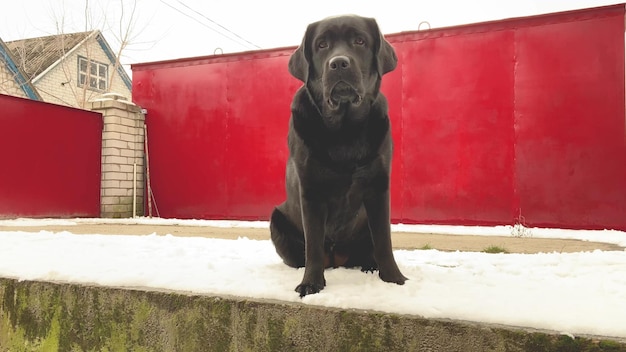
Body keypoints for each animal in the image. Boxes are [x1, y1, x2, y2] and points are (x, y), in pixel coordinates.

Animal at [270, 15, 408, 296]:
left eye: (360, 41)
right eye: (322, 45)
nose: (339, 63)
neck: (344, 131)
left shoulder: (378, 186)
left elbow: (384, 239)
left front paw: (393, 278)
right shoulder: (310, 190)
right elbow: (313, 244)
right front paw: (311, 283)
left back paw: (370, 266)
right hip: (276, 220)